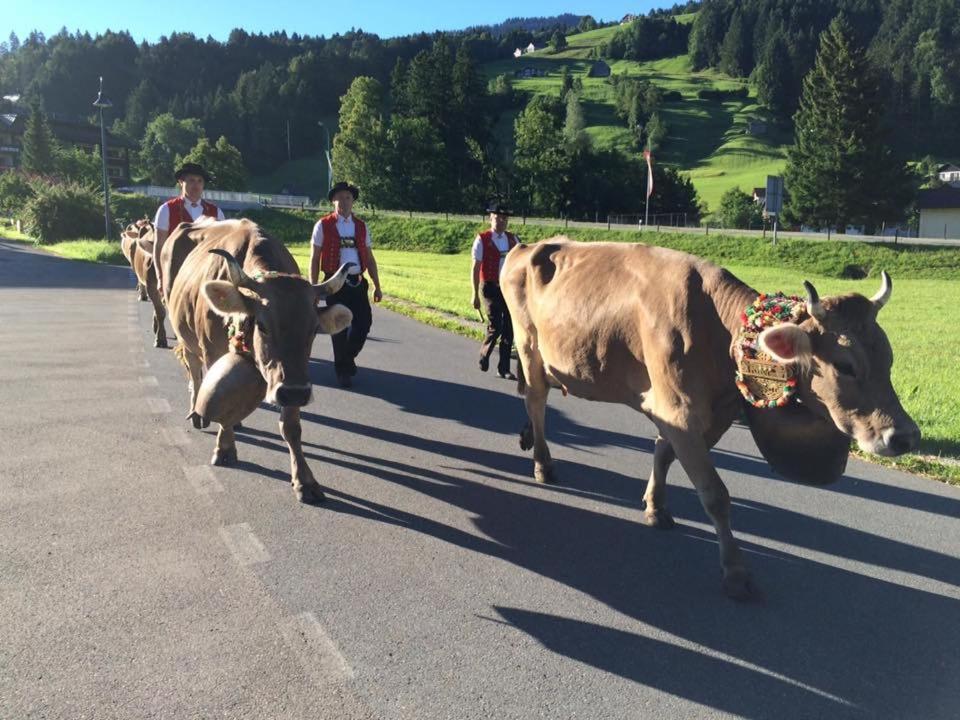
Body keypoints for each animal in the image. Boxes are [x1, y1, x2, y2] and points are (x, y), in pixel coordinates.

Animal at [498, 239, 920, 600]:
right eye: (845, 365)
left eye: (889, 357)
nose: (904, 436)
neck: (716, 325)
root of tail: (526, 246)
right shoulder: (679, 411)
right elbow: (715, 495)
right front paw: (735, 572)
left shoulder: (709, 415)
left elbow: (664, 454)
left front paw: (655, 507)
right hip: (529, 347)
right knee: (535, 403)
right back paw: (542, 463)